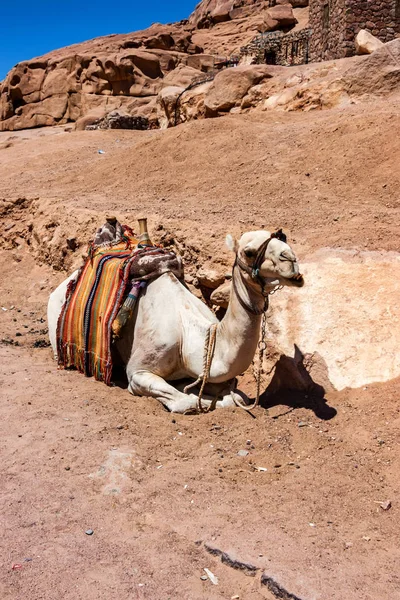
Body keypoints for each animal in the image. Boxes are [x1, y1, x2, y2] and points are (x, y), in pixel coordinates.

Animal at [47, 230, 304, 412]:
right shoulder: (138, 373)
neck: (189, 338)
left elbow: (236, 396)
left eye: (282, 238)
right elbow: (186, 403)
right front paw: (193, 396)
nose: (291, 259)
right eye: (249, 252)